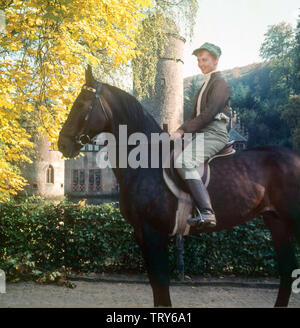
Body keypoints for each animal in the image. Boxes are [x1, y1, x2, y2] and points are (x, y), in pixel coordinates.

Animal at [56, 66, 300, 308]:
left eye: (81, 103)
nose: (62, 144)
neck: (145, 161)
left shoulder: (154, 232)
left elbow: (161, 285)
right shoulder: (141, 233)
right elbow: (156, 286)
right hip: (276, 222)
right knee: (287, 272)